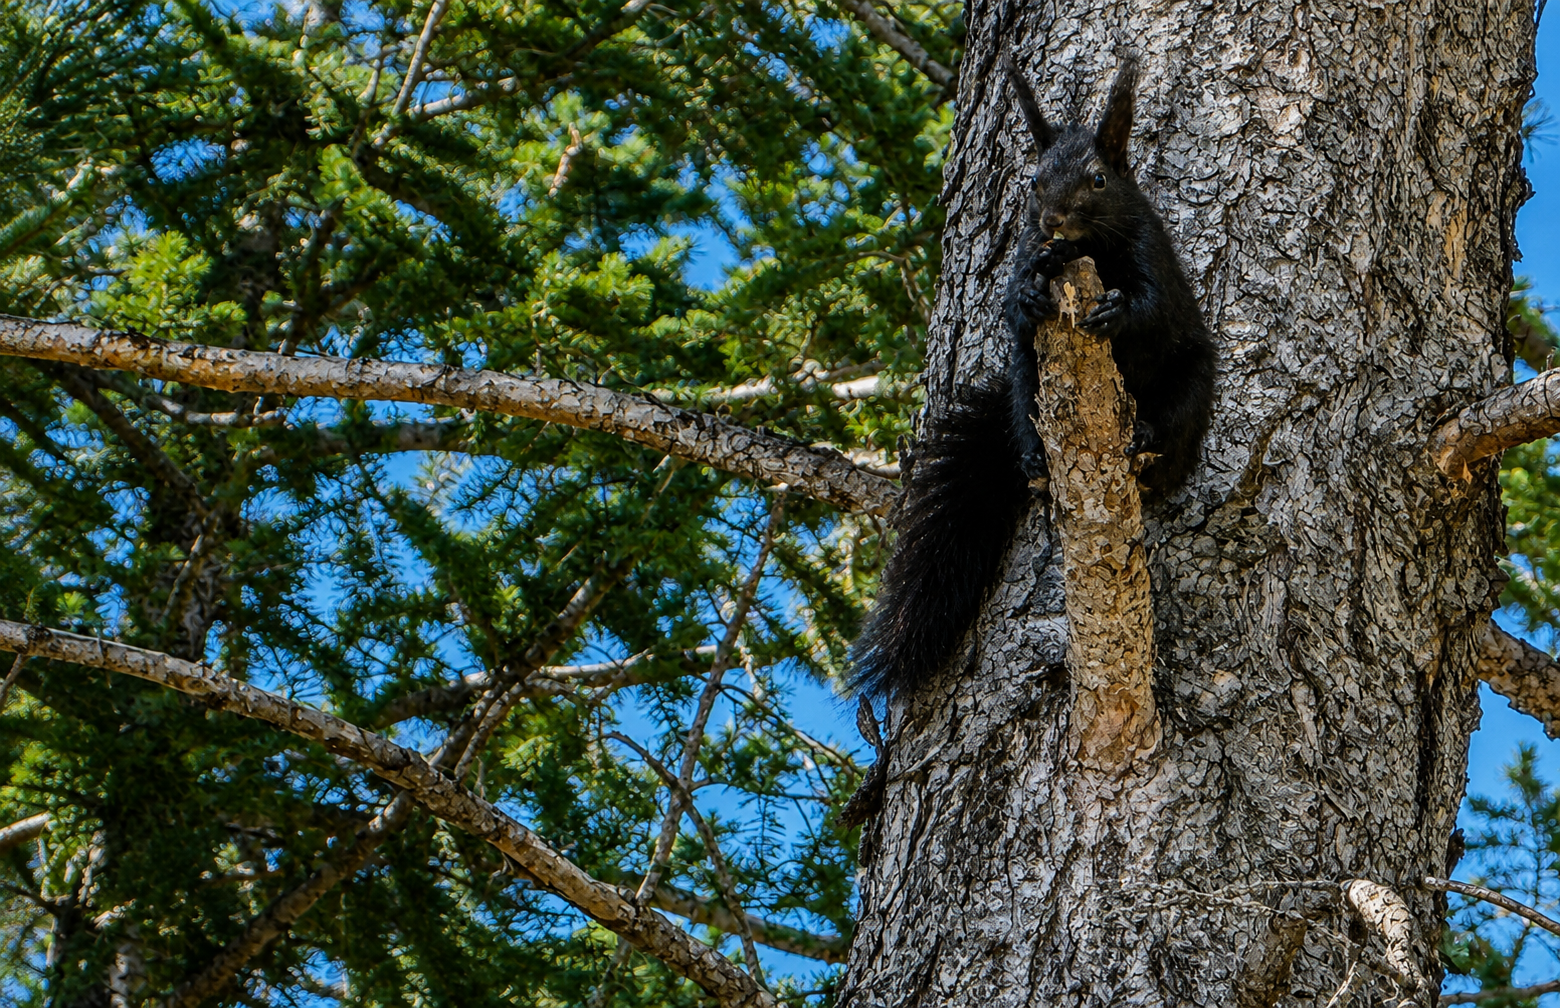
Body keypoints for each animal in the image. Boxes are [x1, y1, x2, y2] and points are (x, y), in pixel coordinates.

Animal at [847, 55, 1217, 701]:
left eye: (1099, 180)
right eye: (1036, 181)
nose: (1054, 220)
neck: (1083, 250)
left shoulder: (1153, 254)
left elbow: (1151, 308)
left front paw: (1115, 311)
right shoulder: (1027, 250)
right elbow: (1015, 304)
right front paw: (1028, 295)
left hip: (1190, 382)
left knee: (1175, 426)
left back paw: (1148, 440)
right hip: (1026, 383)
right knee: (1023, 416)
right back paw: (1036, 459)